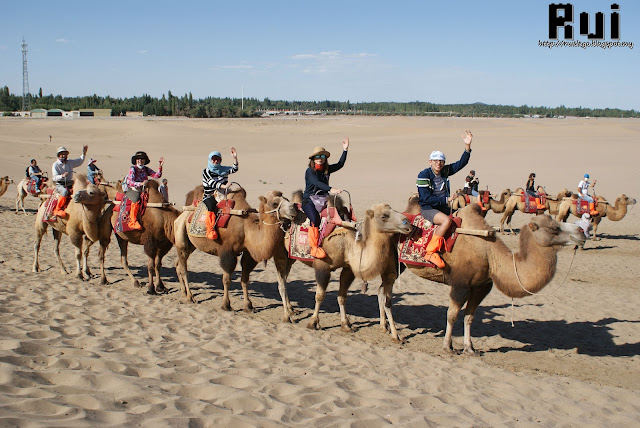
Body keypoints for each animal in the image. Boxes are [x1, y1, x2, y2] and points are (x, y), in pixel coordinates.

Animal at [172, 186, 298, 320]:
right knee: (184, 268)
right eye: (274, 203)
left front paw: (248, 306)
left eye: (287, 199)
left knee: (179, 264)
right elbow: (227, 279)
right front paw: (226, 305)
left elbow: (245, 279)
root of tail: (182, 214)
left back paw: (183, 292)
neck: (246, 228)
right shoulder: (227, 252)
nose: (293, 208)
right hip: (181, 235)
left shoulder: (248, 253)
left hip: (191, 245)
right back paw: (190, 297)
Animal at [272, 192, 412, 342]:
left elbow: (342, 296)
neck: (348, 243)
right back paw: (287, 316)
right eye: (384, 215)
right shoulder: (322, 266)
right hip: (281, 252)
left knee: (285, 278)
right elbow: (320, 295)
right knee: (281, 282)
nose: (407, 223)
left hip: (290, 258)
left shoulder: (348, 268)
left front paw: (346, 325)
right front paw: (313, 322)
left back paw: (291, 309)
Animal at [402, 200, 588, 354]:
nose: (581, 231)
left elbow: (469, 317)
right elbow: (452, 315)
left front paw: (469, 348)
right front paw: (447, 347)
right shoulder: (461, 284)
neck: (489, 252)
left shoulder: (482, 286)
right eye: (554, 228)